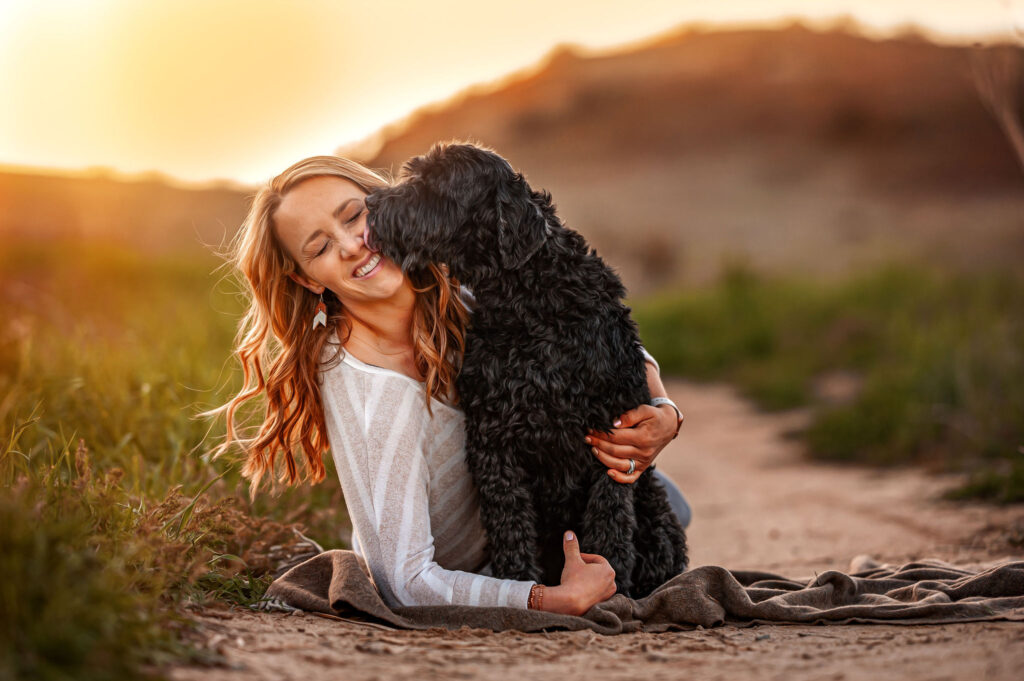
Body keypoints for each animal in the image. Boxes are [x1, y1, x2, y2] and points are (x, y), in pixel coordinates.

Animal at [366, 142, 688, 593]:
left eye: (435, 185)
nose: (370, 205)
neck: (531, 299)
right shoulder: (495, 441)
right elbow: (510, 525)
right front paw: (518, 581)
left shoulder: (610, 435)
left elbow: (608, 524)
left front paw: (612, 588)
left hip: (656, 511)